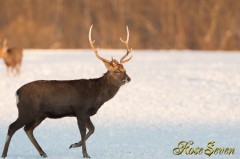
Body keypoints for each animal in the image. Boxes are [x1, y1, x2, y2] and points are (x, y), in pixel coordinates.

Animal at [0, 25, 132, 158]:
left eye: (125, 69)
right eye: (116, 71)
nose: (128, 78)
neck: (97, 95)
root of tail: (17, 93)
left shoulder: (86, 113)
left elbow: (92, 129)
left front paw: (73, 145)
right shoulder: (80, 110)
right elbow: (83, 132)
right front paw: (85, 154)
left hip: (40, 114)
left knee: (28, 129)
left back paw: (43, 153)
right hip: (26, 111)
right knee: (12, 127)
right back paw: (4, 154)